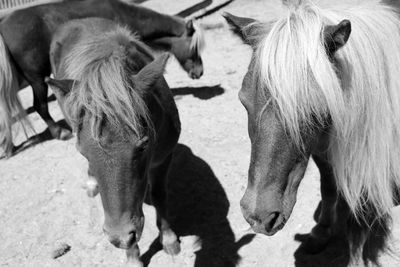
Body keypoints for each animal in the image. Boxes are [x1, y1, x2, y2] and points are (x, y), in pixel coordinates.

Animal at [45, 17, 180, 266]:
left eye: (144, 145)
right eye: (83, 152)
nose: (119, 237)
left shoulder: (164, 157)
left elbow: (159, 194)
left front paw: (168, 238)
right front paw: (133, 256)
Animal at [227, 0, 400, 258]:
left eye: (313, 110)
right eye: (243, 101)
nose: (259, 216)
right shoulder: (321, 151)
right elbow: (328, 187)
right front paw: (322, 231)